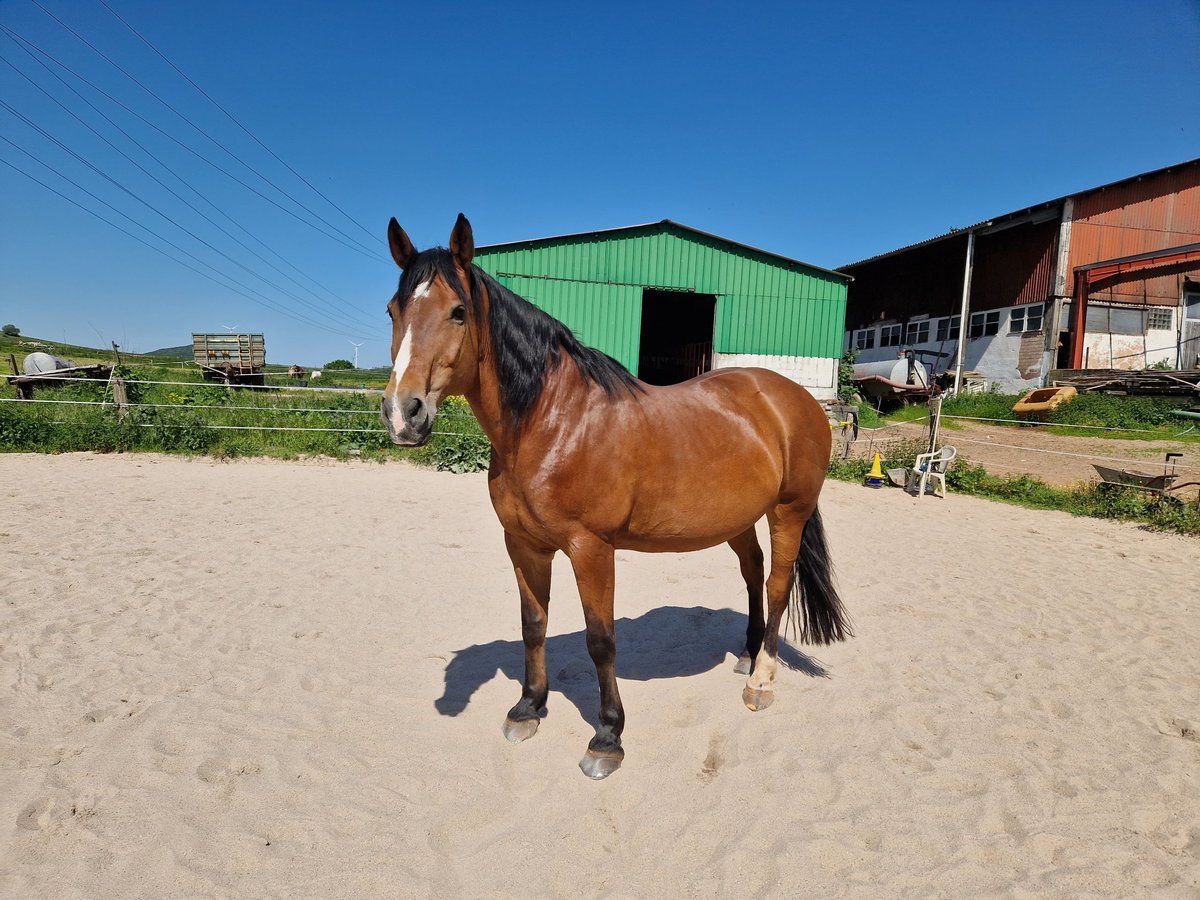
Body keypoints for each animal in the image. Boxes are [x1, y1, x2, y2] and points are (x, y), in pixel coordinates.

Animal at [379, 214, 849, 777]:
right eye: (393, 310)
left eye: (457, 311)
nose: (403, 413)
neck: (552, 421)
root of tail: (796, 397)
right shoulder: (524, 546)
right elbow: (533, 625)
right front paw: (528, 708)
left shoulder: (592, 550)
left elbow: (600, 641)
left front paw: (607, 736)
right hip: (737, 519)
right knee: (753, 573)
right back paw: (747, 655)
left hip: (788, 512)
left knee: (778, 585)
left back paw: (762, 680)